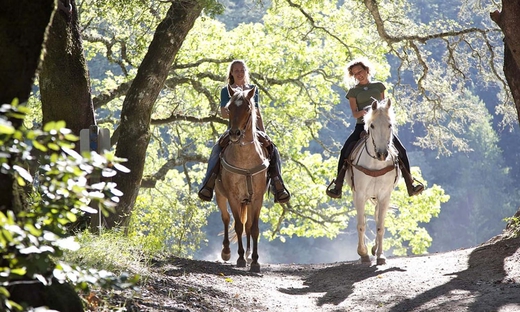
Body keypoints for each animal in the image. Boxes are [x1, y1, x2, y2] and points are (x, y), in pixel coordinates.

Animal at [214, 85, 268, 272]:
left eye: (248, 108)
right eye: (229, 108)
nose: (235, 133)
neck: (245, 160)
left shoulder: (257, 198)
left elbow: (254, 228)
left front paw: (255, 261)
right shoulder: (233, 197)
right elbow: (237, 226)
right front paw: (240, 259)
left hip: (248, 201)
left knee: (249, 226)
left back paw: (249, 255)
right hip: (220, 195)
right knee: (226, 218)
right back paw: (226, 252)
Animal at [348, 98, 400, 264]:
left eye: (390, 125)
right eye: (372, 125)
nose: (382, 154)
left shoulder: (384, 195)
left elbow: (380, 226)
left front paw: (380, 255)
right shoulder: (359, 195)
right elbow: (361, 225)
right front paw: (363, 253)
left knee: (377, 217)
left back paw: (375, 248)